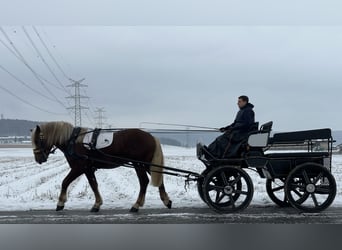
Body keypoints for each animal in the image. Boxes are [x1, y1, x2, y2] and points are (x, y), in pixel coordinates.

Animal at [31, 121, 172, 213]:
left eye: (38, 140)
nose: (38, 159)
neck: (73, 140)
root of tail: (151, 137)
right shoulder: (88, 169)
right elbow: (94, 185)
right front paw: (97, 204)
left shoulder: (79, 168)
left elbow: (65, 182)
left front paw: (60, 203)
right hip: (146, 165)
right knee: (158, 179)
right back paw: (166, 201)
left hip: (139, 164)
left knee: (144, 181)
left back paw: (136, 205)